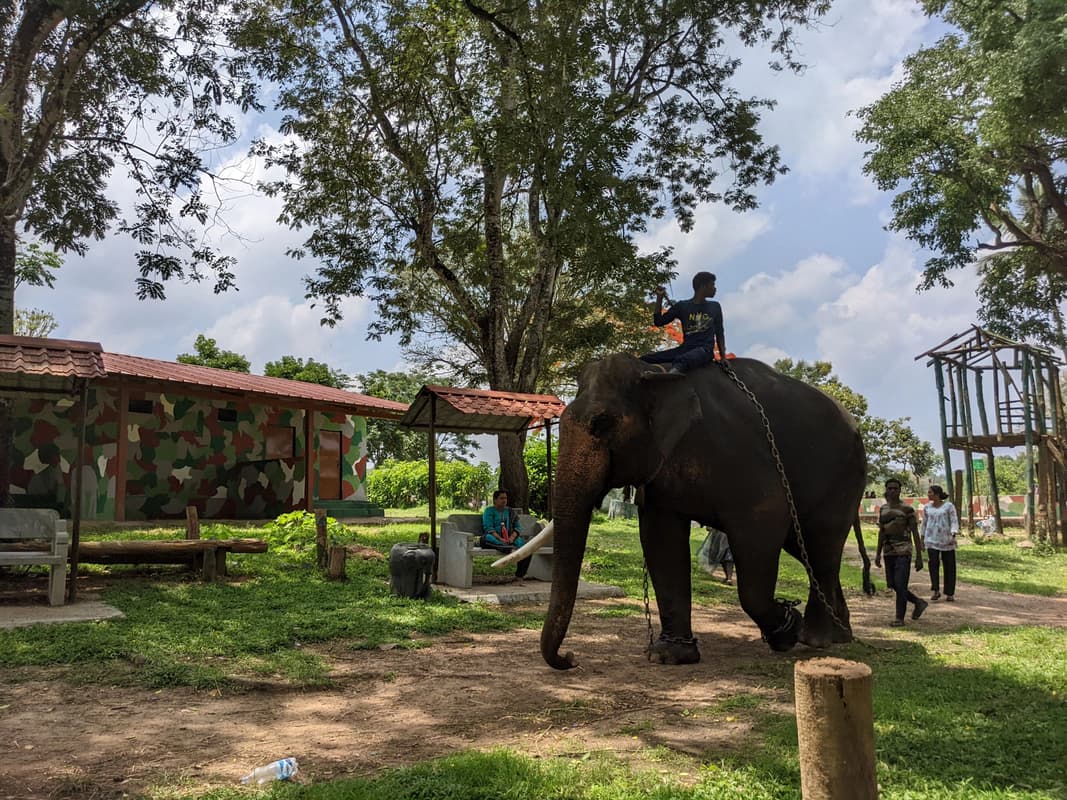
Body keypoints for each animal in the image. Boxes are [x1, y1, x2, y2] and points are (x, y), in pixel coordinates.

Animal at [537, 353, 866, 670]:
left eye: (601, 423)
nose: (570, 657)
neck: (657, 371)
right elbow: (662, 540)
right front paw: (669, 657)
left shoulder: (742, 455)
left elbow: (763, 523)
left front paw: (787, 630)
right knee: (805, 550)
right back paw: (841, 635)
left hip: (844, 478)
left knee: (821, 547)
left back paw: (815, 639)